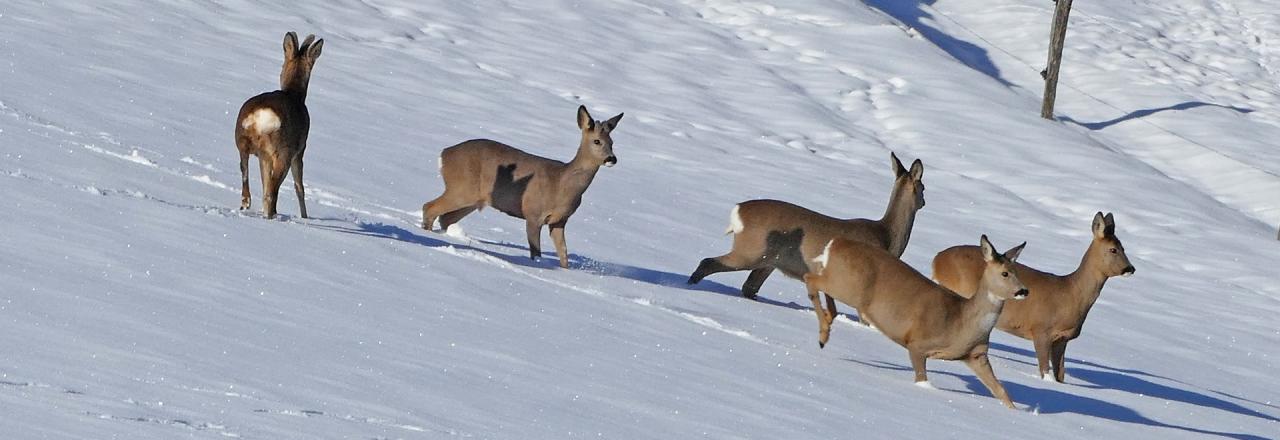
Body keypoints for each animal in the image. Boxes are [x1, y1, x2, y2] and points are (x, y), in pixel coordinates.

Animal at [235, 31, 325, 220]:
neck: (295, 94)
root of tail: (261, 116)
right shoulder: (300, 150)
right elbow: (299, 187)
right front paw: (305, 216)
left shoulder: (264, 157)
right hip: (283, 152)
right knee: (272, 191)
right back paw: (272, 216)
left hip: (243, 141)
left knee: (248, 179)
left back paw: (247, 205)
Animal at [424, 104, 624, 268]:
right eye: (597, 141)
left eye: (612, 143)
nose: (612, 159)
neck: (561, 184)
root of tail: (444, 154)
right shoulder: (533, 213)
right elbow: (536, 252)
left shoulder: (560, 221)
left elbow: (564, 255)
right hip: (461, 188)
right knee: (430, 207)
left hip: (473, 200)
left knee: (445, 218)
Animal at [686, 152, 926, 313]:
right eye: (923, 188)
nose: (924, 201)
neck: (887, 237)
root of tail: (738, 211)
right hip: (752, 250)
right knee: (709, 263)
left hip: (769, 261)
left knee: (749, 287)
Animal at [803, 236, 1034, 409]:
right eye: (1005, 273)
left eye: (1017, 272)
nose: (1023, 291)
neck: (961, 321)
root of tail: (835, 243)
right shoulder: (917, 344)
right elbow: (922, 379)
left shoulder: (976, 355)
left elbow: (1001, 390)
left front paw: (1016, 412)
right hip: (848, 287)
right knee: (809, 278)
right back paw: (823, 336)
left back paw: (828, 321)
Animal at [926, 212, 1136, 381]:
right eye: (1113, 249)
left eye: (1124, 247)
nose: (1130, 269)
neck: (1070, 293)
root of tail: (936, 260)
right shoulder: (1041, 329)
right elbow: (1045, 371)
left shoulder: (1062, 339)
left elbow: (1060, 376)